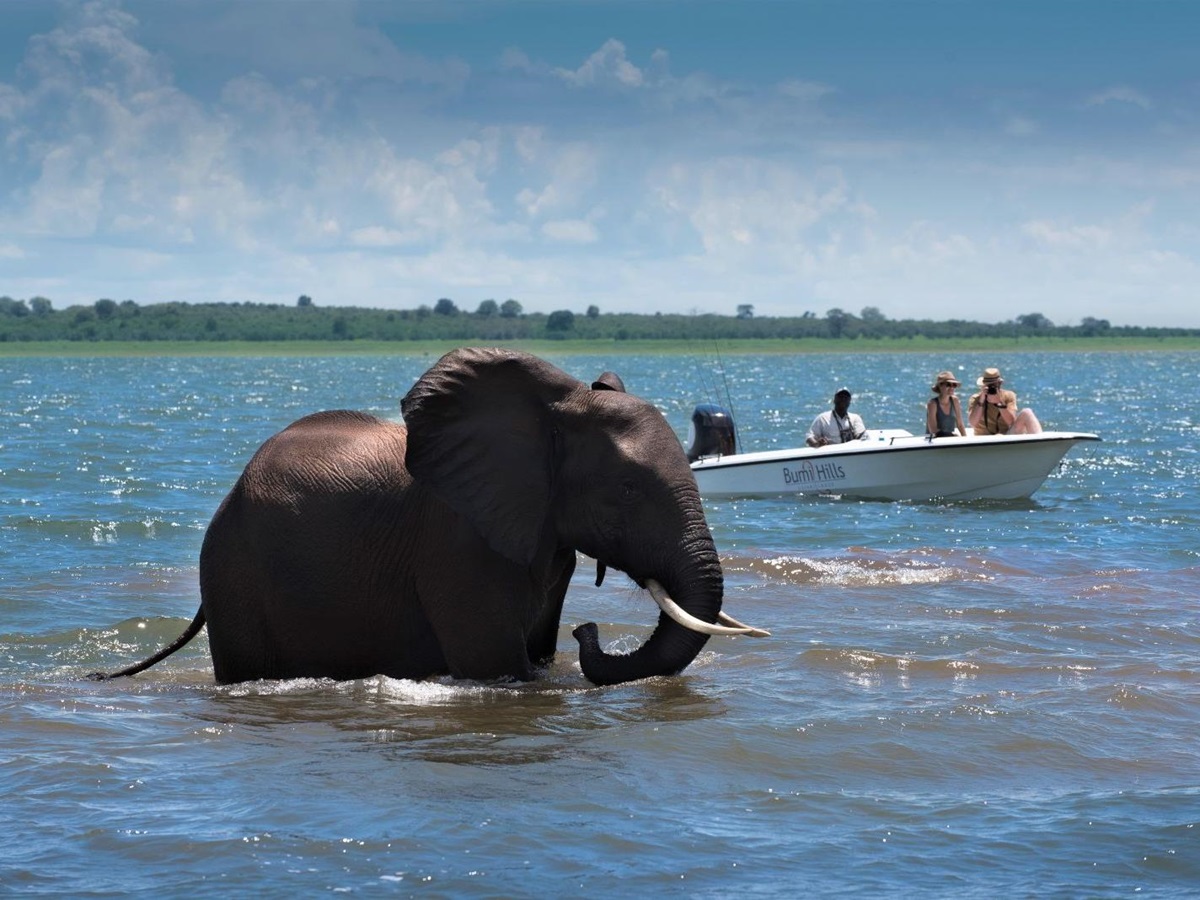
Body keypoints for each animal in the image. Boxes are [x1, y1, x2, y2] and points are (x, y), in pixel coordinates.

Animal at [91, 348, 767, 687]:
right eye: (627, 489)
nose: (588, 630)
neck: (554, 408)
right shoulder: (456, 542)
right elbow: (497, 665)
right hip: (235, 574)